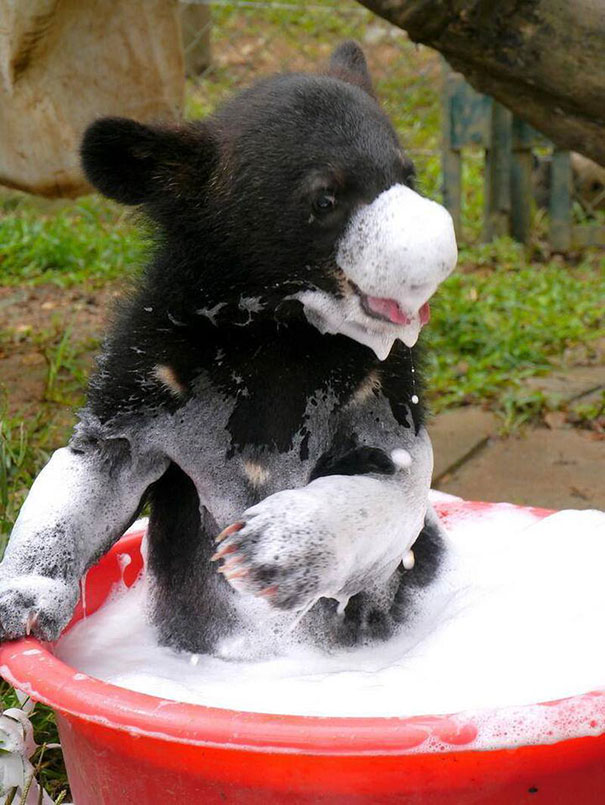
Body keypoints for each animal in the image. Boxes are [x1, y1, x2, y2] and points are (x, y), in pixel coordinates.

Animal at [0, 42, 457, 655]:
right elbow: (100, 467)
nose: (436, 260)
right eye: (325, 199)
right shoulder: (153, 372)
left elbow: (398, 468)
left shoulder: (380, 380)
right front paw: (22, 600)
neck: (279, 329)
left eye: (407, 175)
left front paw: (273, 550)